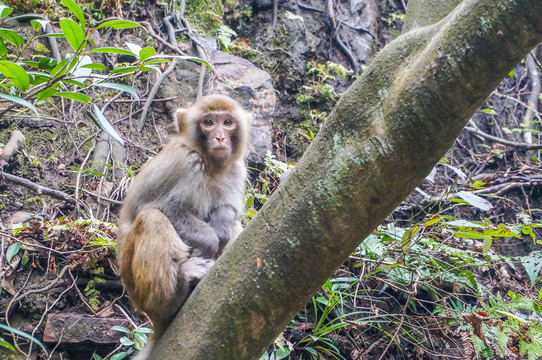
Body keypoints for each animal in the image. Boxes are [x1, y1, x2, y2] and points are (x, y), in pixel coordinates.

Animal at [116, 94, 251, 358]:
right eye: (208, 123)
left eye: (227, 122)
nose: (220, 137)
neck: (209, 164)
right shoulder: (182, 161)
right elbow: (148, 204)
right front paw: (209, 238)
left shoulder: (236, 169)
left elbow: (229, 210)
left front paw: (221, 222)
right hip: (137, 288)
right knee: (152, 218)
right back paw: (173, 299)